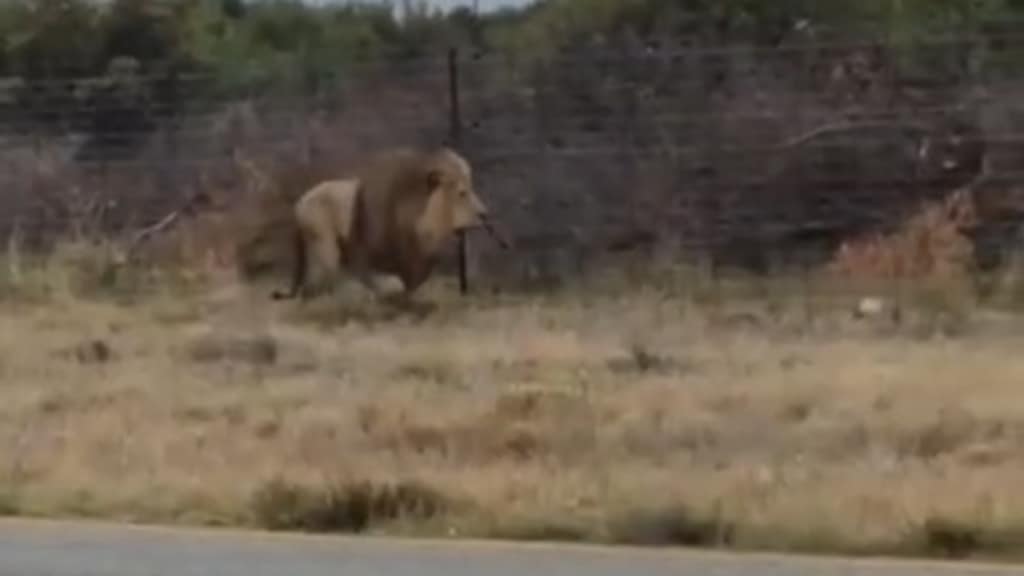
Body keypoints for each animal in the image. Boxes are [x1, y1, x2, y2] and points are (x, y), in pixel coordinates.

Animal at [272, 146, 508, 302]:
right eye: (462, 193)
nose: (484, 214)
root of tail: (300, 203)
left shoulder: (417, 264)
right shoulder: (366, 256)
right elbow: (386, 283)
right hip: (324, 243)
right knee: (323, 280)